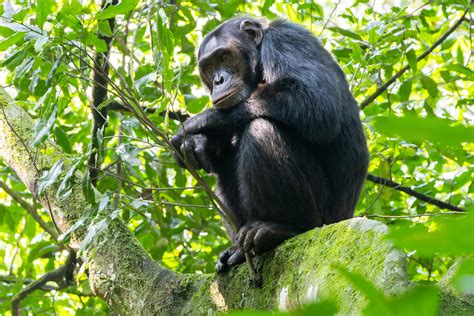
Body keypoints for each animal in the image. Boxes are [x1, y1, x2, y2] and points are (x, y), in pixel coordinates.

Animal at [170, 16, 370, 272]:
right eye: (208, 67)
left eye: (224, 57)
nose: (218, 79)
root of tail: (343, 219)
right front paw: (195, 144)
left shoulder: (286, 40)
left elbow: (317, 101)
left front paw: (200, 121)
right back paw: (239, 250)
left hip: (321, 219)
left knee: (261, 128)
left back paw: (278, 229)